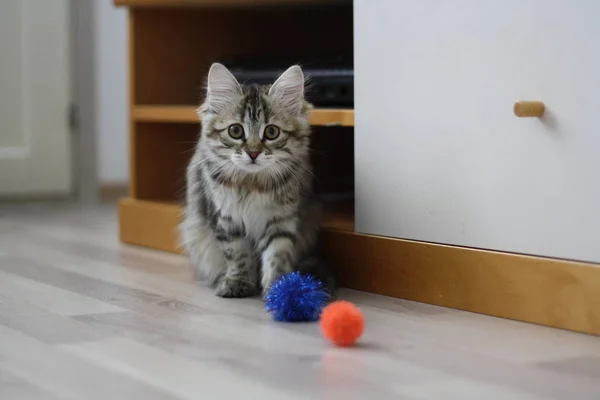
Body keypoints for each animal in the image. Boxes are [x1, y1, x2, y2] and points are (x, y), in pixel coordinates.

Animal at [180, 63, 336, 296]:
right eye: (235, 130)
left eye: (271, 132)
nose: (253, 153)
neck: (251, 183)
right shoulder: (225, 219)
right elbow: (238, 255)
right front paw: (238, 282)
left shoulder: (280, 220)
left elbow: (276, 254)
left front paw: (278, 287)